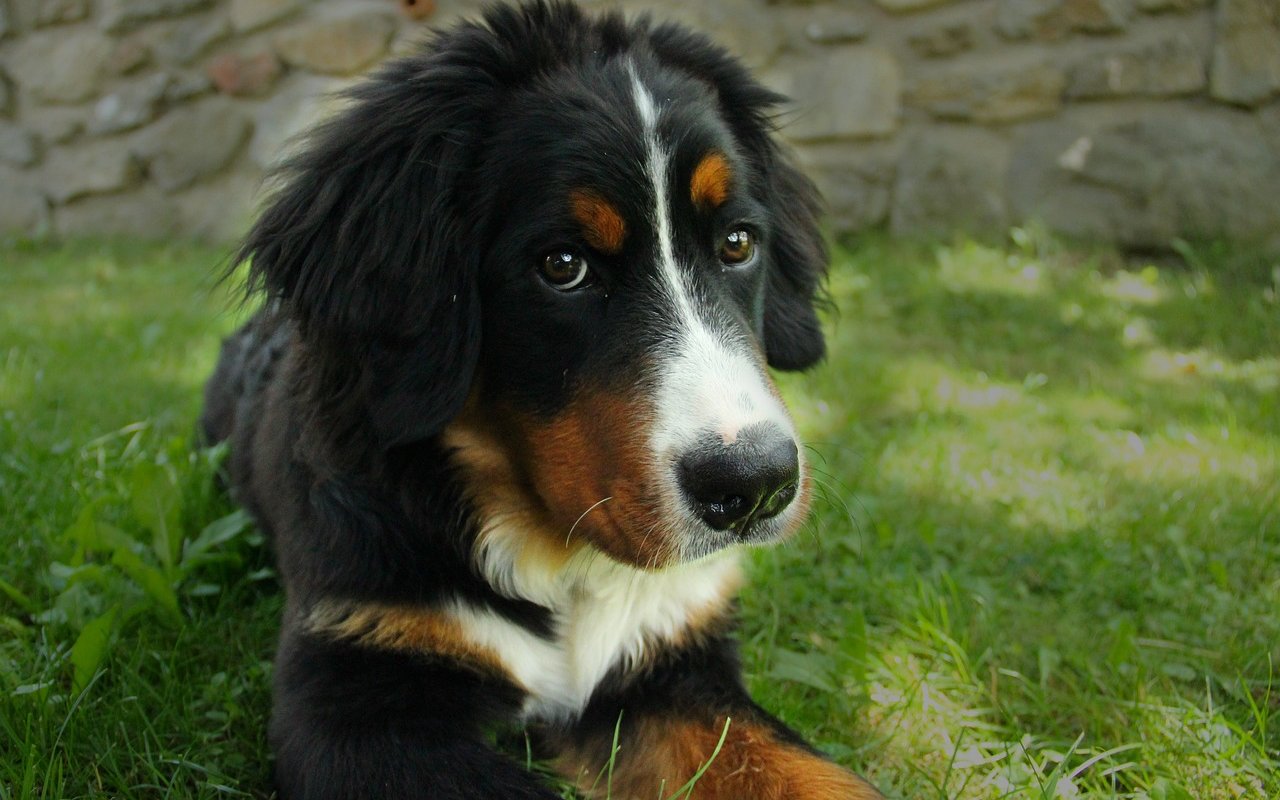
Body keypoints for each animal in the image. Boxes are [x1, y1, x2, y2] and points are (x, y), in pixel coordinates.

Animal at [202, 1, 880, 798]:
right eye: (563, 265)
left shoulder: (671, 657)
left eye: (739, 243)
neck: (560, 563)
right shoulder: (354, 689)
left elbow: (812, 772)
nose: (754, 485)